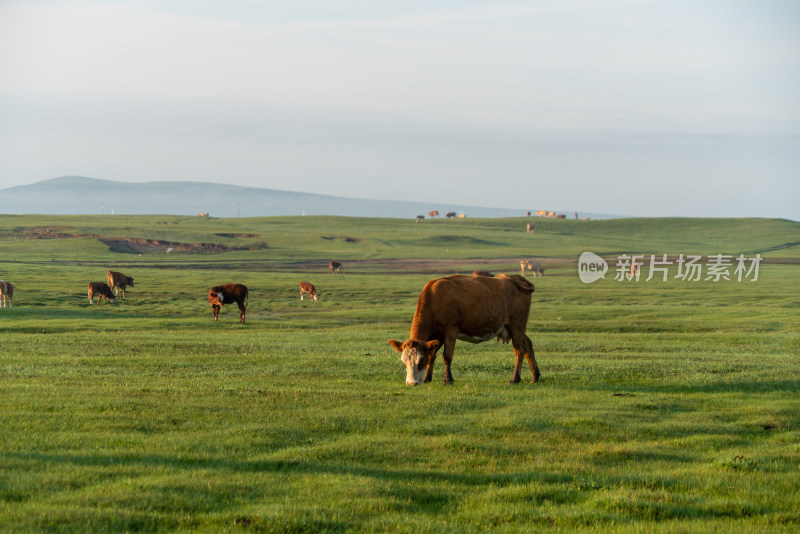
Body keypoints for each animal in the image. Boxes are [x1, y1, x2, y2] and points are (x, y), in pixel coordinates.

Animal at [386, 276, 536, 386]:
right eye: (404, 362)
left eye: (420, 361)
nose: (411, 383)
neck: (435, 299)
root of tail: (513, 277)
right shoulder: (437, 336)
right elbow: (432, 355)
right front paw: (427, 378)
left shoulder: (450, 330)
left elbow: (446, 356)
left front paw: (448, 380)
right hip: (513, 328)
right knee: (527, 345)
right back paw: (535, 376)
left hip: (517, 325)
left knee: (519, 351)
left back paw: (515, 379)